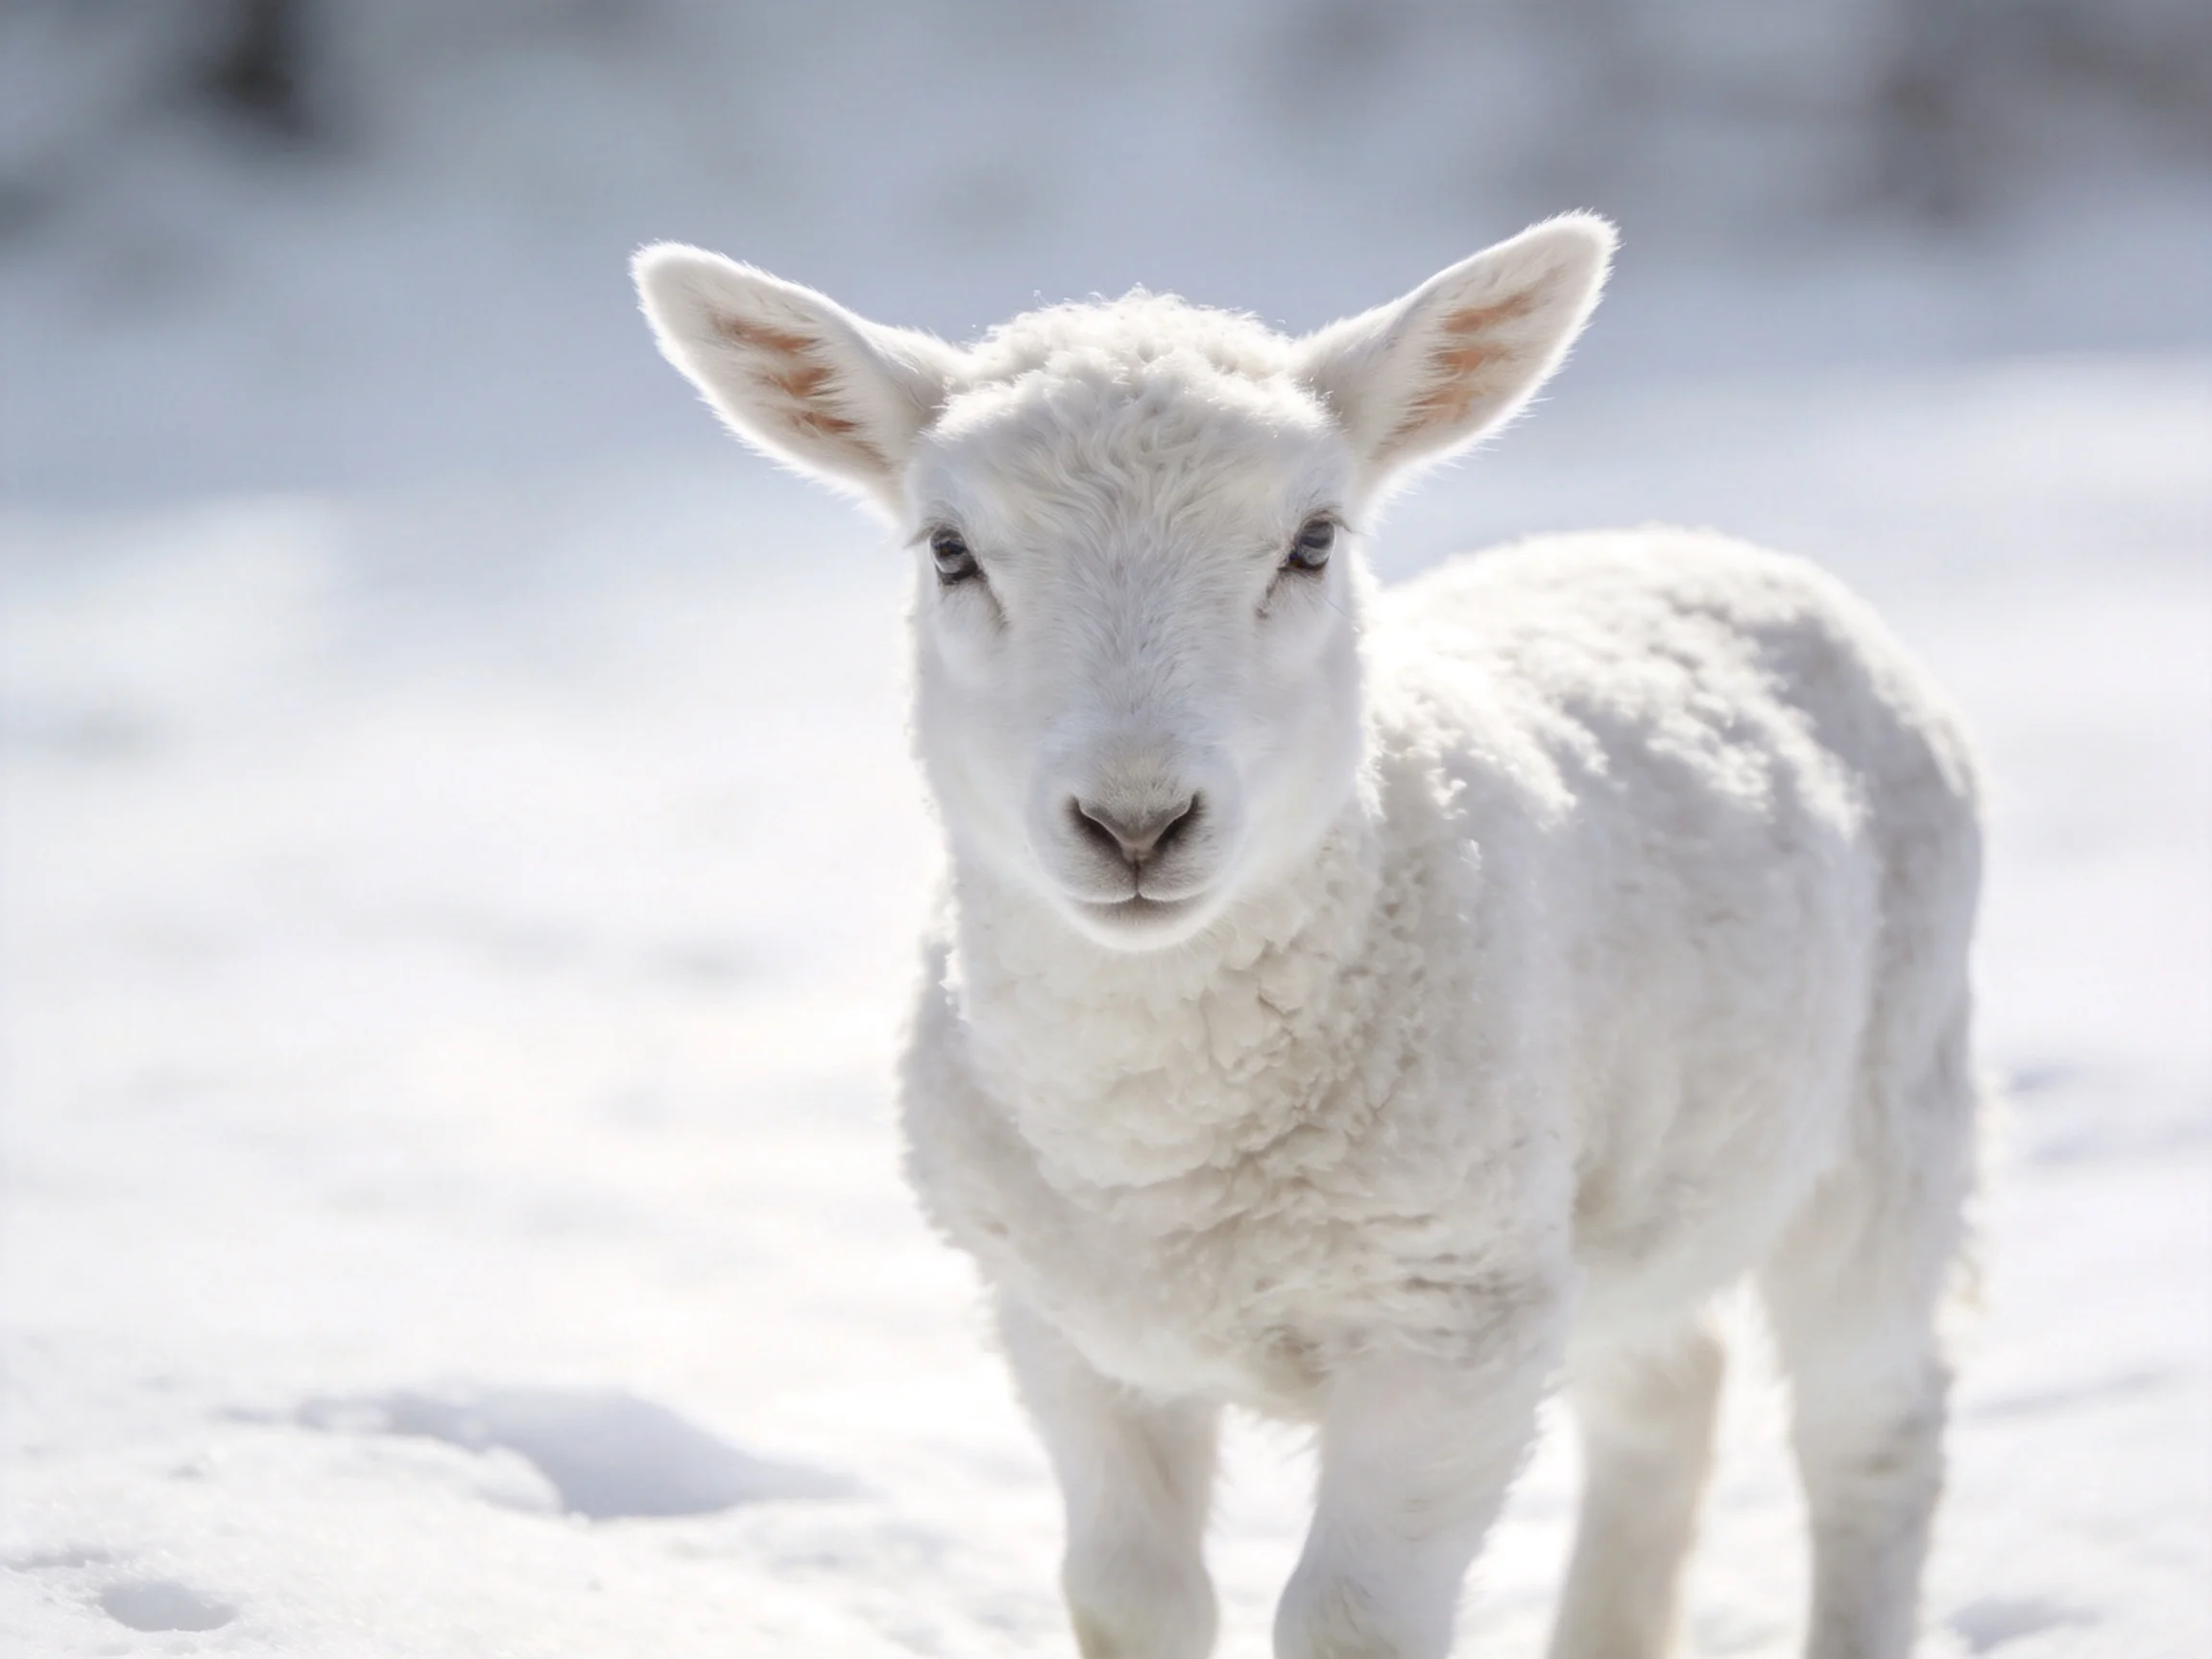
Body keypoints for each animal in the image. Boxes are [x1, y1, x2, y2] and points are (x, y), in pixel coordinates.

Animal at [632, 216, 1984, 1659]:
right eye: (948, 550)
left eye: (1314, 540)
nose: (1136, 821)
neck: (1166, 1139)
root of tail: (1696, 545)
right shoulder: (1069, 1329)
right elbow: (1128, 1599)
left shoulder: (1451, 1317)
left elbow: (1350, 1623)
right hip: (1629, 1190)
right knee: (1664, 1397)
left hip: (1889, 1119)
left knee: (1871, 1433)